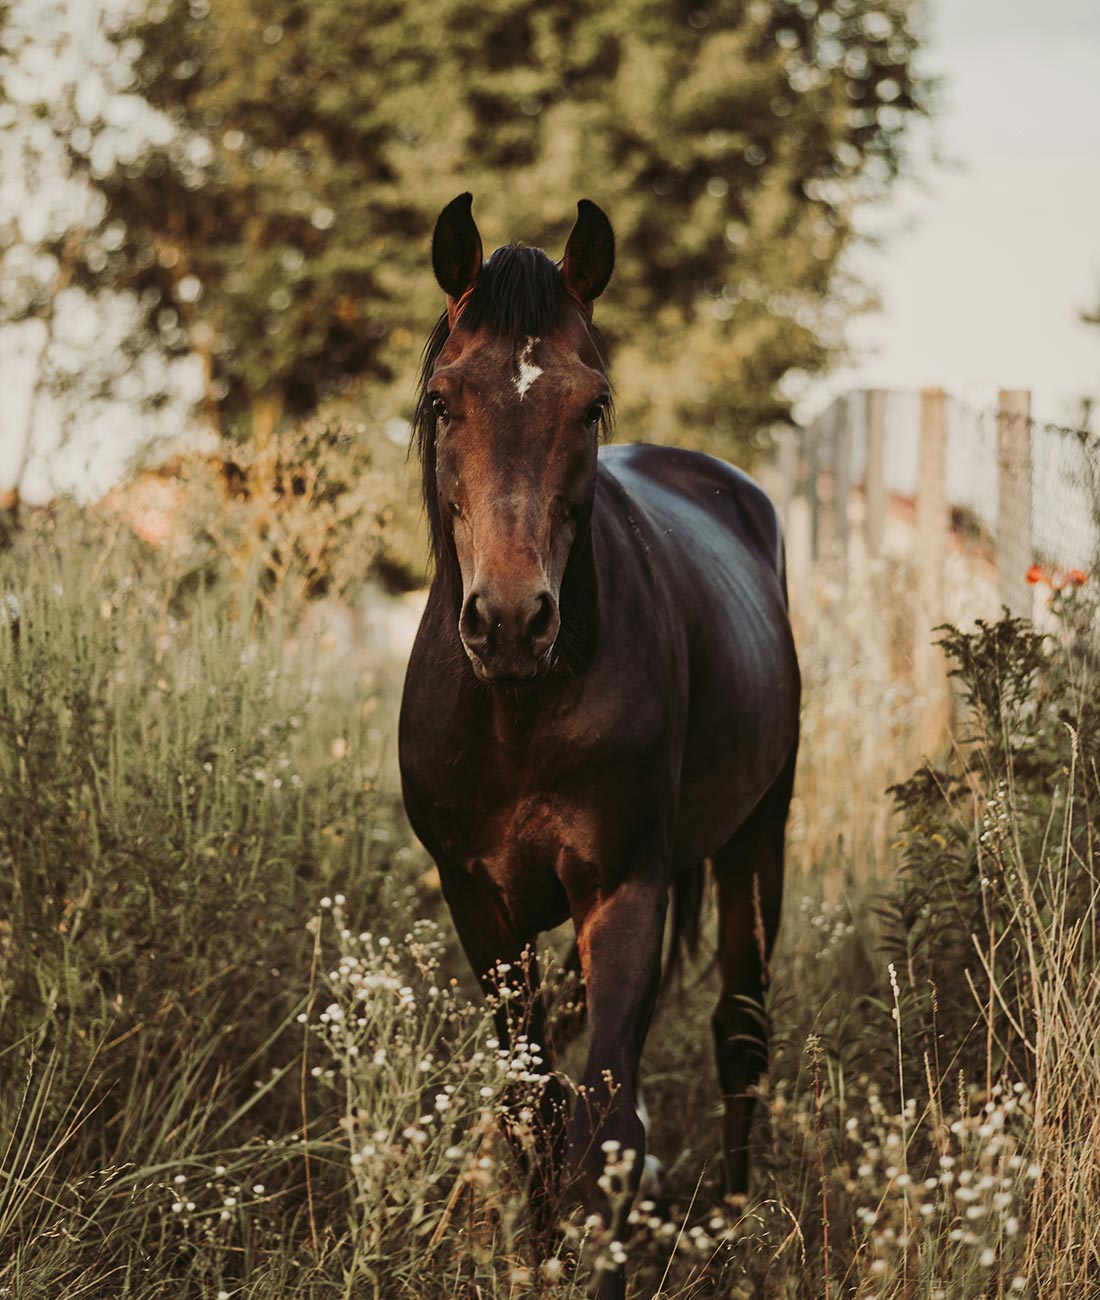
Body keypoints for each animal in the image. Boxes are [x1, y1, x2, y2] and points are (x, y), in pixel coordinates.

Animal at [398, 193, 800, 1298]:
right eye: (443, 401)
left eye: (590, 406)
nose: (509, 621)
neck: (518, 710)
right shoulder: (479, 905)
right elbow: (530, 1112)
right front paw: (536, 1257)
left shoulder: (624, 890)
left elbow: (608, 1129)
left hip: (757, 840)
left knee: (738, 1036)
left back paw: (732, 1232)